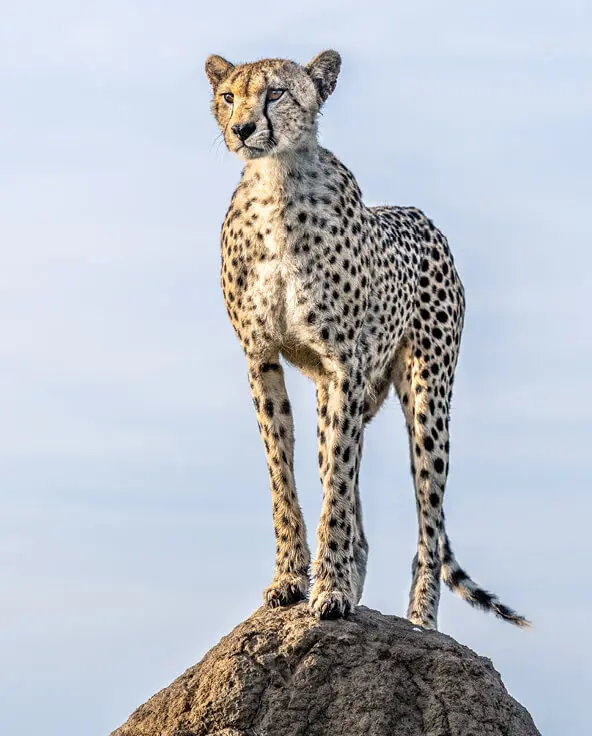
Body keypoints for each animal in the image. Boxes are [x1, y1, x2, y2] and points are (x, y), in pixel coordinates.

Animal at [204, 49, 529, 630]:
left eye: (275, 93)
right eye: (228, 96)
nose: (241, 129)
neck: (276, 183)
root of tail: (420, 215)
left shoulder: (346, 364)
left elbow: (336, 487)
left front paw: (330, 590)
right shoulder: (262, 358)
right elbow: (283, 476)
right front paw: (291, 580)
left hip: (427, 397)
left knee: (429, 524)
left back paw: (420, 621)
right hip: (332, 397)